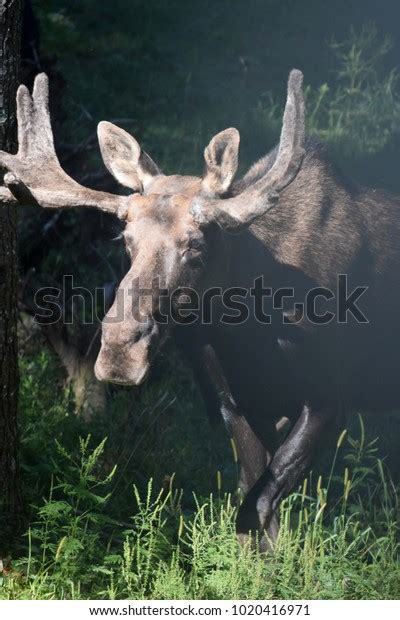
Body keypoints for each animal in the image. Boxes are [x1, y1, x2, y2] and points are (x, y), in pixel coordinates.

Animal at [0, 70, 400, 548]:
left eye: (195, 246)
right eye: (125, 238)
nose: (119, 352)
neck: (250, 333)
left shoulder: (329, 398)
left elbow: (259, 505)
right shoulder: (234, 403)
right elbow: (254, 505)